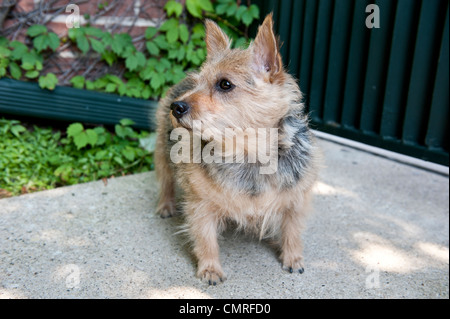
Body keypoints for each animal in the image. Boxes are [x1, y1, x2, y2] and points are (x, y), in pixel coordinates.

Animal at [155, 13, 320, 286]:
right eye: (198, 83)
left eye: (225, 84)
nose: (176, 107)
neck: (247, 155)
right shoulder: (200, 205)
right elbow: (206, 238)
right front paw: (210, 268)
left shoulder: (297, 198)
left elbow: (293, 229)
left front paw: (293, 257)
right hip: (163, 153)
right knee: (166, 180)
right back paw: (165, 205)